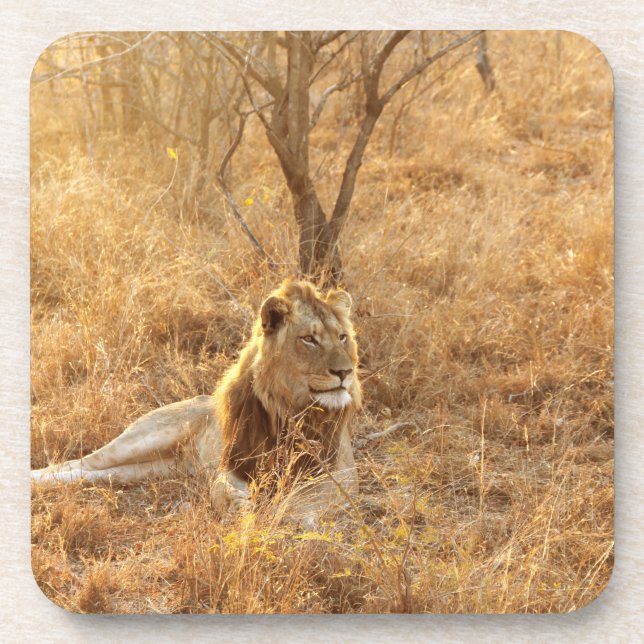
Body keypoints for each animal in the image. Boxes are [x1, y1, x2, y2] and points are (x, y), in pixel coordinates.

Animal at [31, 279, 361, 523]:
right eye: (309, 339)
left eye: (342, 337)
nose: (345, 372)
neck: (291, 407)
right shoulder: (234, 462)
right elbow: (220, 488)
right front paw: (239, 507)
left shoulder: (341, 470)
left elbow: (309, 495)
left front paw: (286, 515)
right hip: (143, 439)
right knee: (79, 462)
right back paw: (35, 478)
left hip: (153, 468)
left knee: (93, 474)